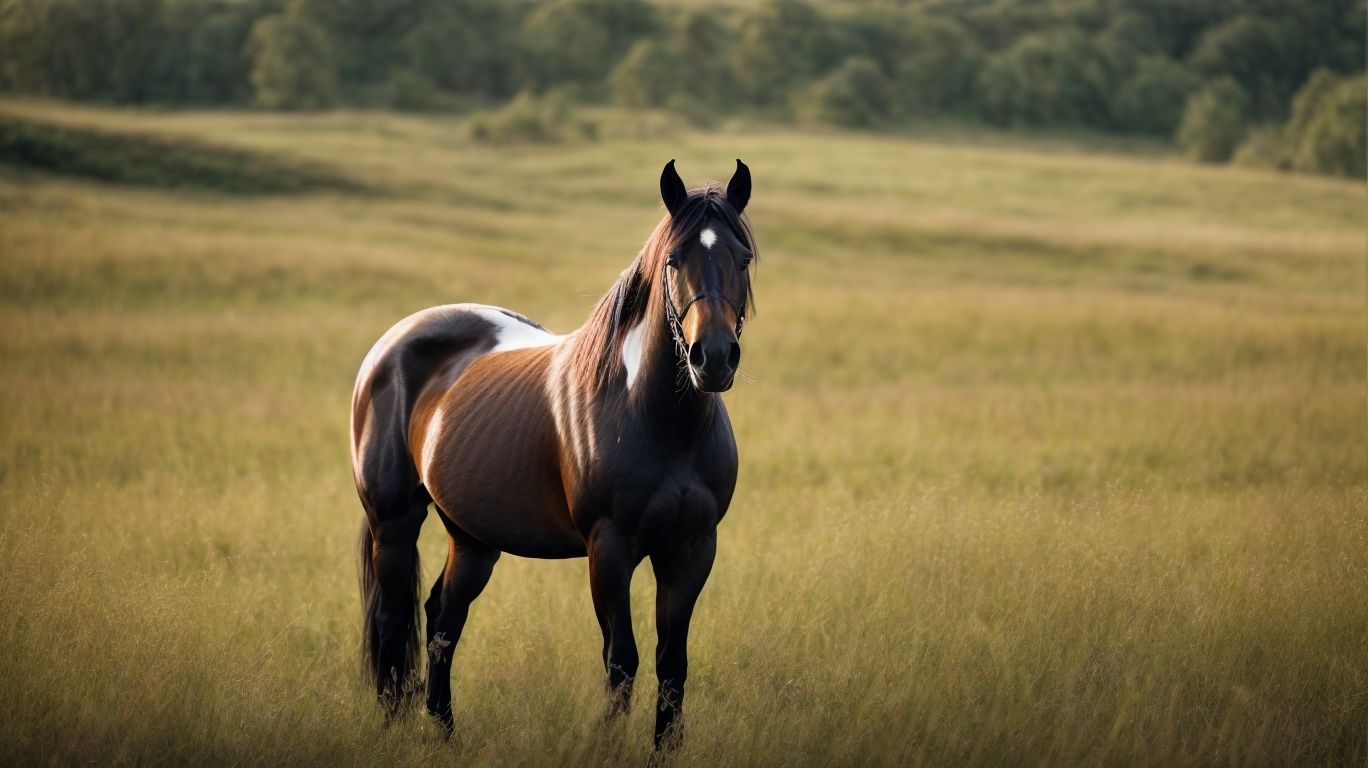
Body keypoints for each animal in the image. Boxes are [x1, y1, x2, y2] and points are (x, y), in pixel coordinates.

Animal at [350, 159, 756, 748]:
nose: (714, 358)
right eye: (674, 259)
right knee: (392, 623)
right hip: (394, 522)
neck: (660, 422)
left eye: (743, 258)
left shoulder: (692, 549)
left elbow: (671, 664)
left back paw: (445, 731)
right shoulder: (608, 548)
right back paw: (396, 728)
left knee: (443, 621)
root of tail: (391, 345)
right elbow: (621, 660)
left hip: (472, 537)